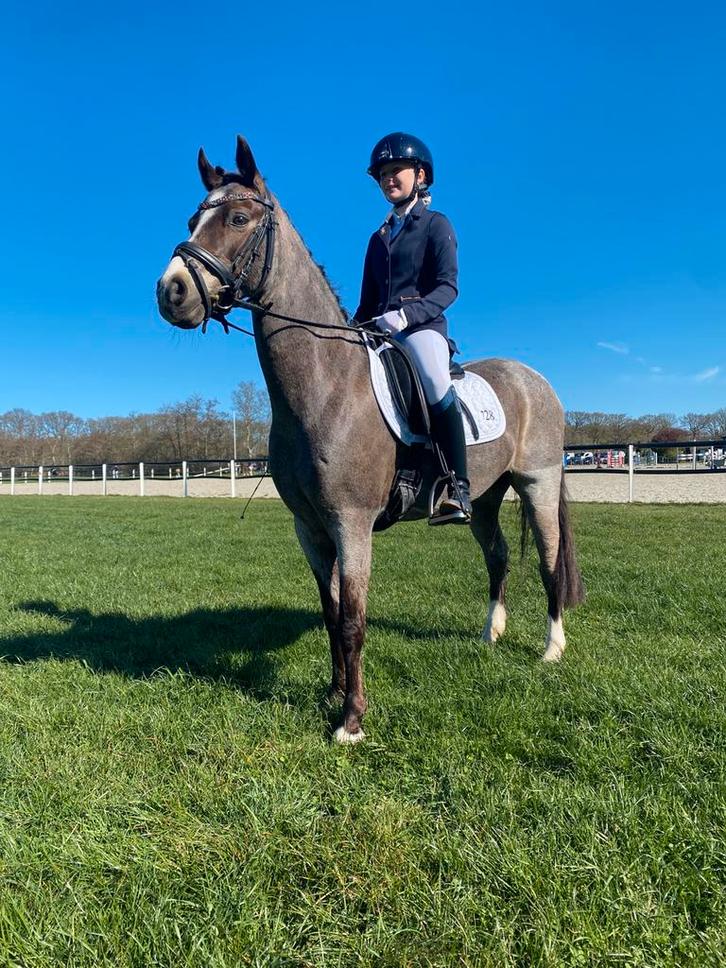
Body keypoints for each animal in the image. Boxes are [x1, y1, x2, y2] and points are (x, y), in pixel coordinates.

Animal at [156, 135, 585, 744]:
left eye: (237, 219)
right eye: (193, 220)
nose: (170, 291)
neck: (326, 385)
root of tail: (534, 378)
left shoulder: (351, 522)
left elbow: (355, 617)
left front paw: (351, 720)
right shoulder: (310, 527)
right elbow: (331, 613)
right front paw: (333, 693)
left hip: (538, 484)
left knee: (549, 561)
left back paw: (551, 649)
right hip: (483, 496)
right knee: (498, 557)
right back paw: (490, 635)